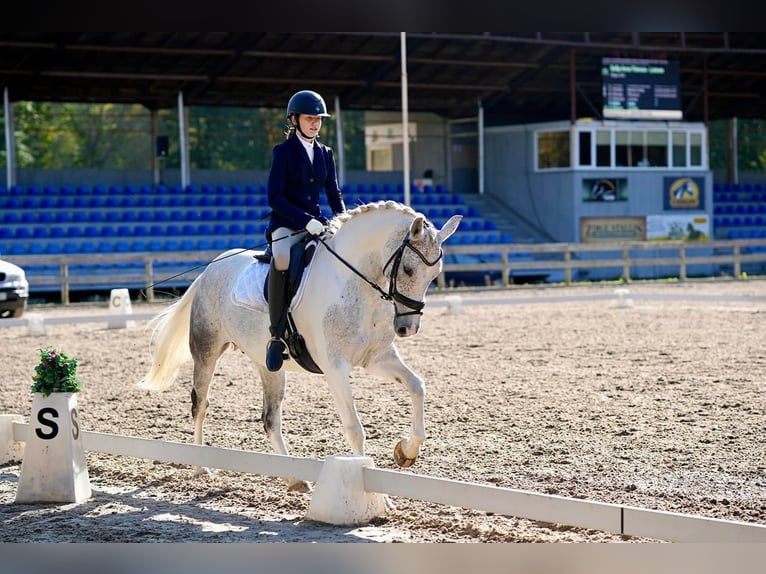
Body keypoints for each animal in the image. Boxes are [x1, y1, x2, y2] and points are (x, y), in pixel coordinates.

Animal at [139, 200, 462, 492]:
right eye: (407, 269)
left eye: (434, 275)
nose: (408, 328)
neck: (355, 283)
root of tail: (210, 269)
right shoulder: (334, 367)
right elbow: (355, 429)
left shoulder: (376, 358)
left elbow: (417, 386)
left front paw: (405, 451)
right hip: (206, 351)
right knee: (200, 405)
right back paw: (200, 467)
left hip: (268, 365)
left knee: (270, 419)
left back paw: (295, 479)